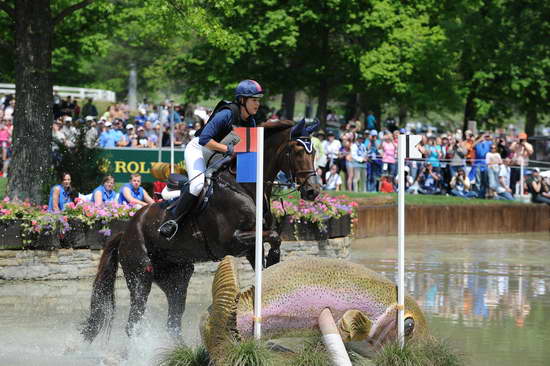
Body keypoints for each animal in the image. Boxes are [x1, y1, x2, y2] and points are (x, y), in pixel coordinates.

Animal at [82, 118, 324, 342]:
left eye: (313, 152)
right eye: (297, 151)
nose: (312, 191)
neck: (244, 186)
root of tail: (125, 232)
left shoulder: (250, 248)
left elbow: (268, 251)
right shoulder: (231, 241)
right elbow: (274, 236)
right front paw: (274, 257)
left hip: (177, 277)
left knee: (173, 321)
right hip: (140, 276)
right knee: (134, 324)